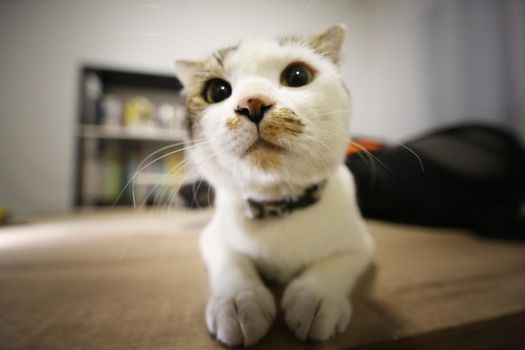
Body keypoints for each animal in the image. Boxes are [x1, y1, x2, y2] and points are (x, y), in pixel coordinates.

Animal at [175, 25, 372, 348]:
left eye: (297, 76)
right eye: (217, 91)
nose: (252, 103)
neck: (278, 205)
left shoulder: (361, 245)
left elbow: (335, 265)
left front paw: (315, 298)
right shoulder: (212, 238)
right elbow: (232, 261)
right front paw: (239, 302)